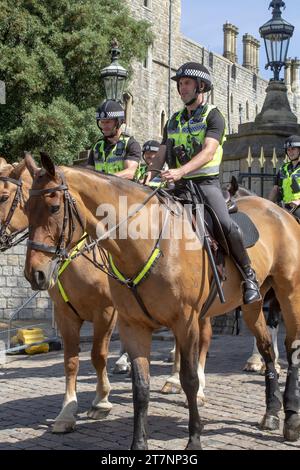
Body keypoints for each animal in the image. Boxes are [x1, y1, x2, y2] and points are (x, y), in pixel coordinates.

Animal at [0, 159, 116, 434]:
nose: (35, 273)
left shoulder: (106, 312)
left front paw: (102, 400)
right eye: (27, 208)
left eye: (4, 197)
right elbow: (71, 360)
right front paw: (67, 412)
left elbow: (98, 355)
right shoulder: (65, 315)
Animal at [24, 153, 300, 448]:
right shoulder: (132, 325)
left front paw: (194, 439)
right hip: (253, 304)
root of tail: (279, 211)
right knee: (267, 349)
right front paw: (138, 443)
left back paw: (291, 418)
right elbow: (140, 387)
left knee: (291, 348)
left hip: (289, 295)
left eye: (54, 207)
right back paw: (271, 412)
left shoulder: (185, 322)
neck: (146, 242)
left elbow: (189, 380)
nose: (35, 273)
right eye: (26, 208)